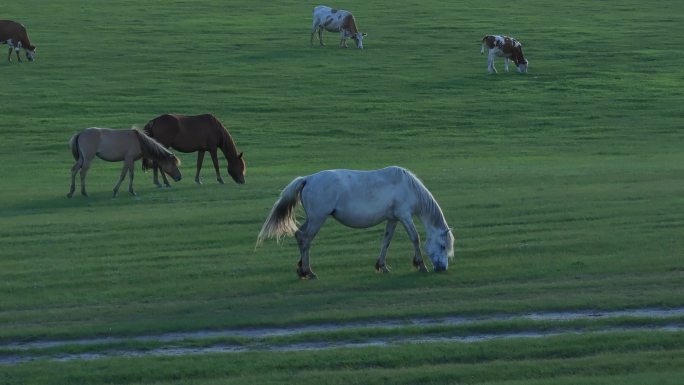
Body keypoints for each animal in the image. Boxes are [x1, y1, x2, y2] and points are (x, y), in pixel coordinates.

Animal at [256, 166, 454, 278]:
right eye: (443, 246)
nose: (443, 268)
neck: (406, 186)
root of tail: (308, 179)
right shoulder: (405, 216)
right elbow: (415, 238)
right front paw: (421, 265)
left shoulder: (392, 219)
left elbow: (386, 242)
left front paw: (382, 266)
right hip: (318, 218)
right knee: (305, 239)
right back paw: (308, 271)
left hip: (312, 218)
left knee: (299, 235)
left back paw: (300, 269)